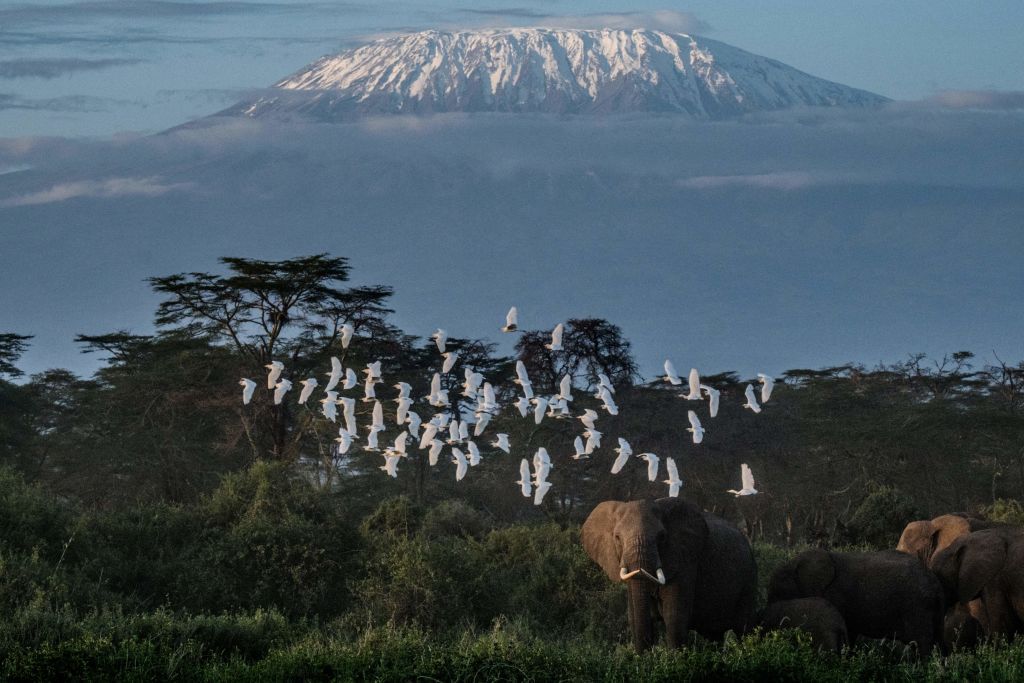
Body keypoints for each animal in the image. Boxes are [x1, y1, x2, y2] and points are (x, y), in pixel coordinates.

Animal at [581, 497, 757, 651]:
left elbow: (674, 617)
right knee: (714, 636)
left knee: (744, 628)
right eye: (617, 537)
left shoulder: (685, 560)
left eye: (662, 537)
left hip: (749, 577)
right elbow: (635, 618)